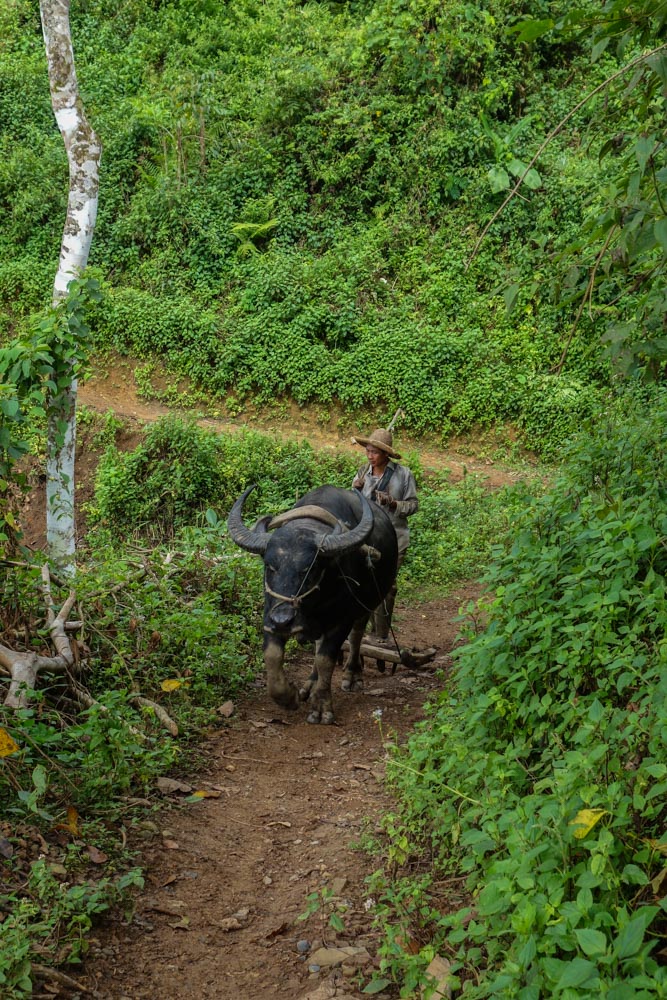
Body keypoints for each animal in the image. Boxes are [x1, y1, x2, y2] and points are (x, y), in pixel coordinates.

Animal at [227, 482, 400, 724]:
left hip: (367, 604)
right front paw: (288, 697)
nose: (283, 620)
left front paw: (321, 707)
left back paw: (352, 675)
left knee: (355, 637)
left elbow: (326, 659)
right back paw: (309, 685)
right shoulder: (270, 614)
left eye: (310, 569)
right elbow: (272, 656)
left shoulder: (341, 620)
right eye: (270, 566)